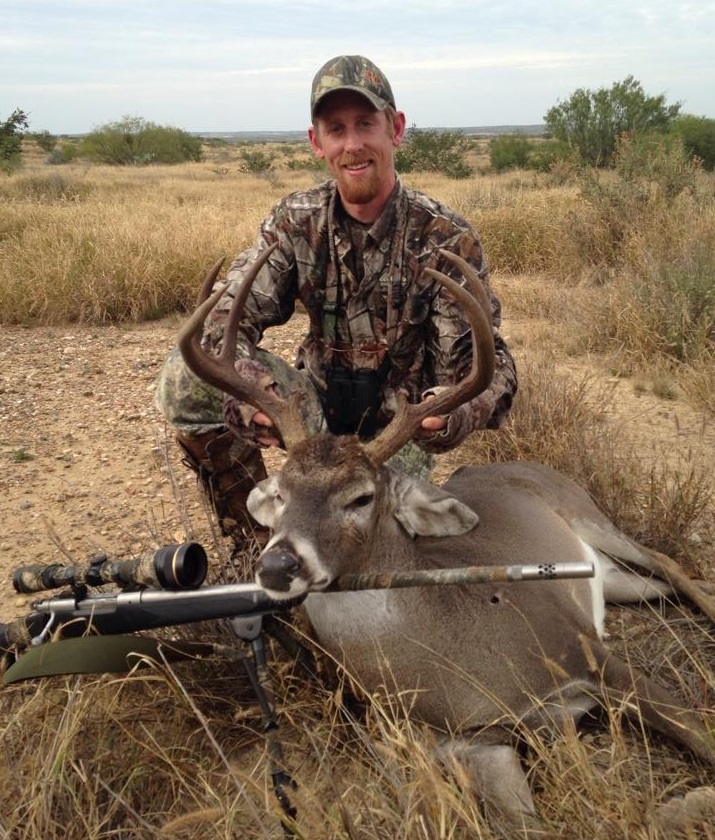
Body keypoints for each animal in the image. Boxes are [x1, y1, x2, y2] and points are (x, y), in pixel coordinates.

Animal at [178, 245, 715, 837]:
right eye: (282, 494)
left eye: (361, 497)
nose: (277, 566)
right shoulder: (476, 742)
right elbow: (528, 825)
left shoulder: (586, 652)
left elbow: (699, 734)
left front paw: (689, 802)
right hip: (613, 581)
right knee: (660, 586)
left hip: (586, 512)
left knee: (671, 563)